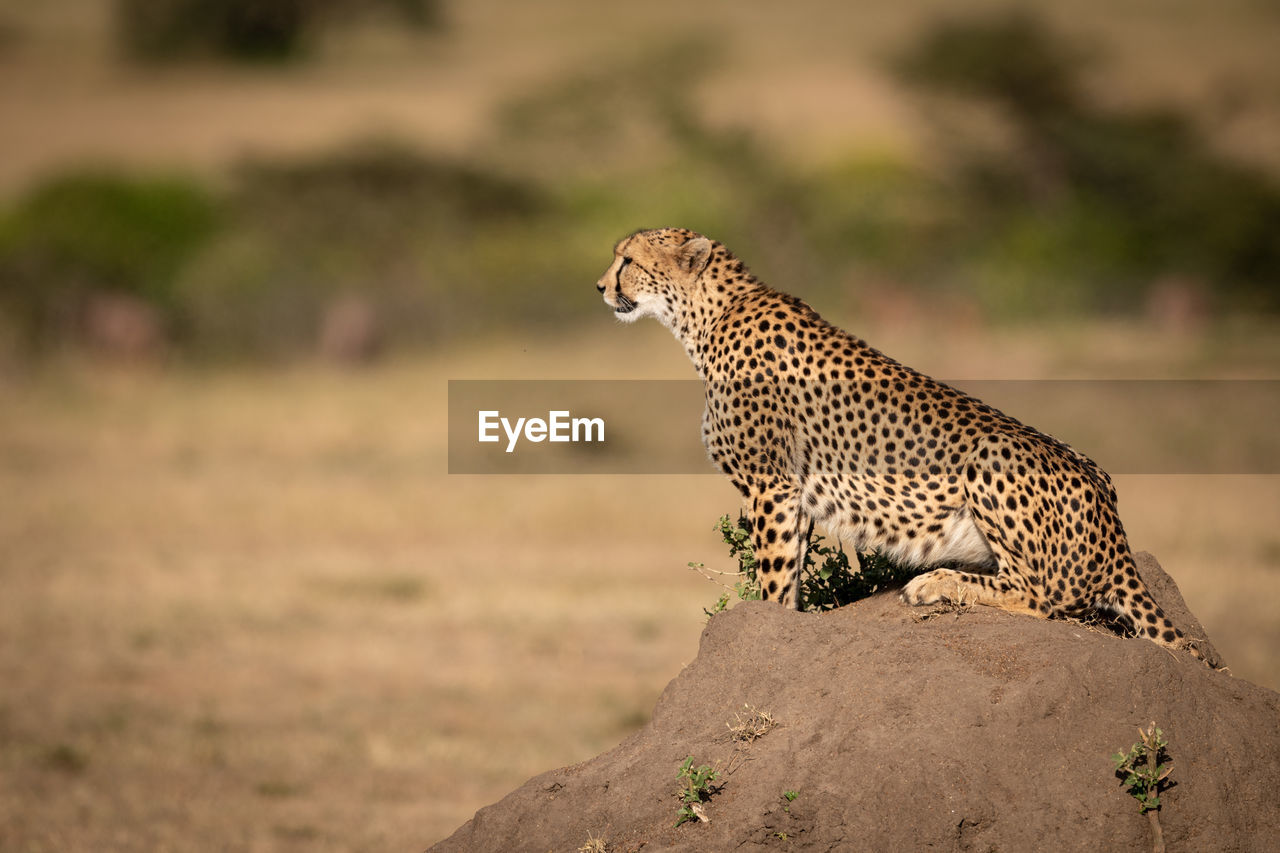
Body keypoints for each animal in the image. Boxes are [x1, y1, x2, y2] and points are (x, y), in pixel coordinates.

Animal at [599, 222, 1198, 653]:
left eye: (628, 260)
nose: (601, 287)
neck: (707, 317)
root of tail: (1112, 517)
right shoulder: (791, 491)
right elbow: (791, 573)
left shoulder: (771, 484)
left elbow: (773, 576)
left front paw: (767, 625)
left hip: (993, 454)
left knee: (1043, 595)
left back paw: (936, 583)